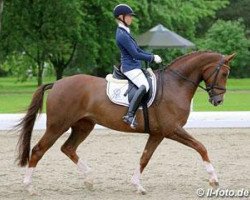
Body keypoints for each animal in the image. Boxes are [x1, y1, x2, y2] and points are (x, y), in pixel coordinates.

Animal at [17, 51, 234, 194]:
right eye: (224, 73)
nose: (218, 101)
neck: (176, 84)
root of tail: (57, 83)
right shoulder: (172, 129)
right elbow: (201, 147)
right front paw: (214, 180)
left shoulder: (158, 133)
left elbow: (145, 158)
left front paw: (137, 185)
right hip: (57, 125)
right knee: (38, 150)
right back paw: (29, 187)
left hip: (84, 125)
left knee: (68, 148)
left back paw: (89, 180)